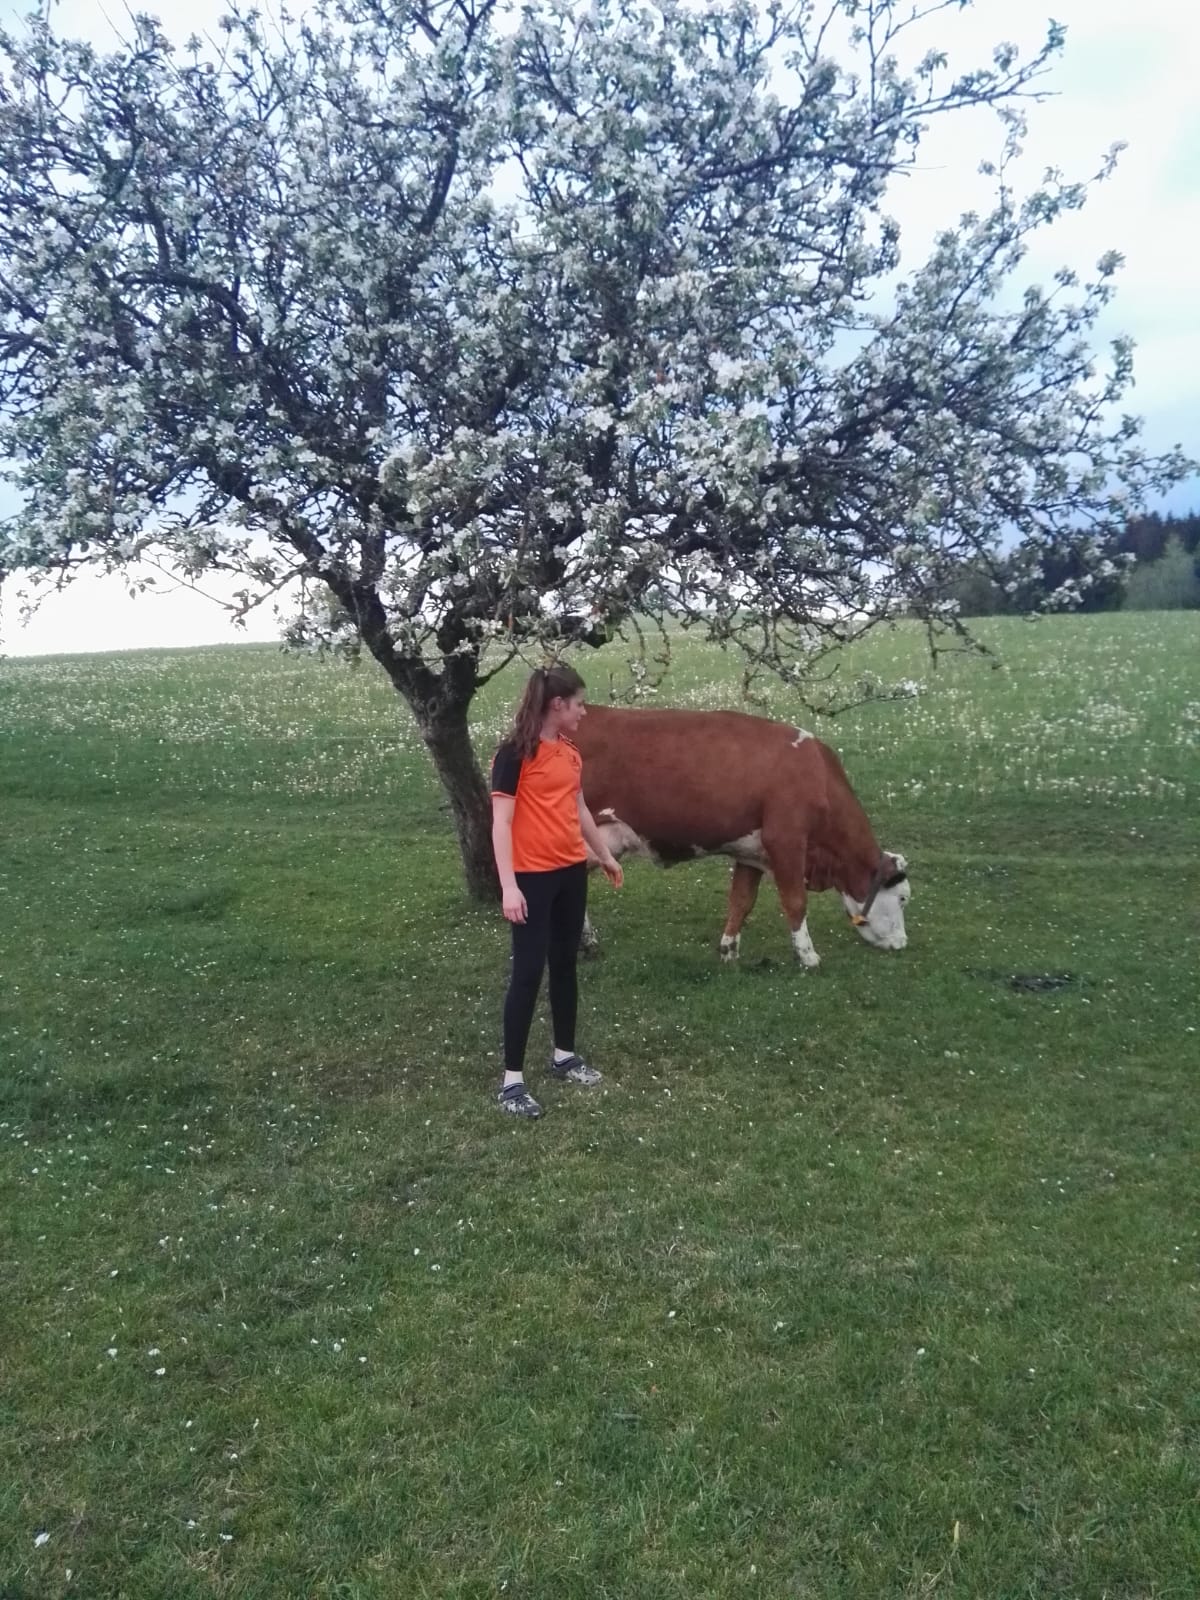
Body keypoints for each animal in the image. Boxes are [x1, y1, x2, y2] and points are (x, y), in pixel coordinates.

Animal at [572, 704, 910, 967]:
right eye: (903, 898)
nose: (902, 943)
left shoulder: (752, 852)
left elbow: (742, 901)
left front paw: (729, 951)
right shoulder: (785, 840)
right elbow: (796, 901)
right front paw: (807, 956)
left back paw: (588, 943)